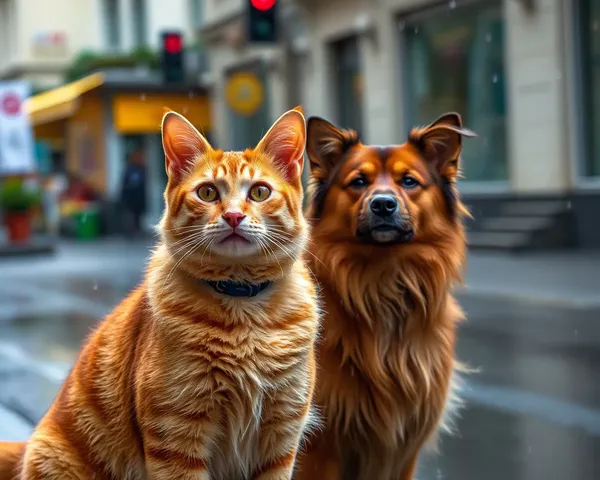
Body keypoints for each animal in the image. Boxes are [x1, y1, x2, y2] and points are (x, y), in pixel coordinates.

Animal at [0, 108, 322, 480]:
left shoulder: (281, 436)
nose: (233, 216)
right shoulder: (176, 437)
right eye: (208, 193)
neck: (242, 309)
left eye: (259, 193)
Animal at [292, 113, 476, 480]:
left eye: (409, 181)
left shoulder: (402, 449)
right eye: (359, 182)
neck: (383, 282)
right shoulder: (320, 448)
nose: (383, 204)